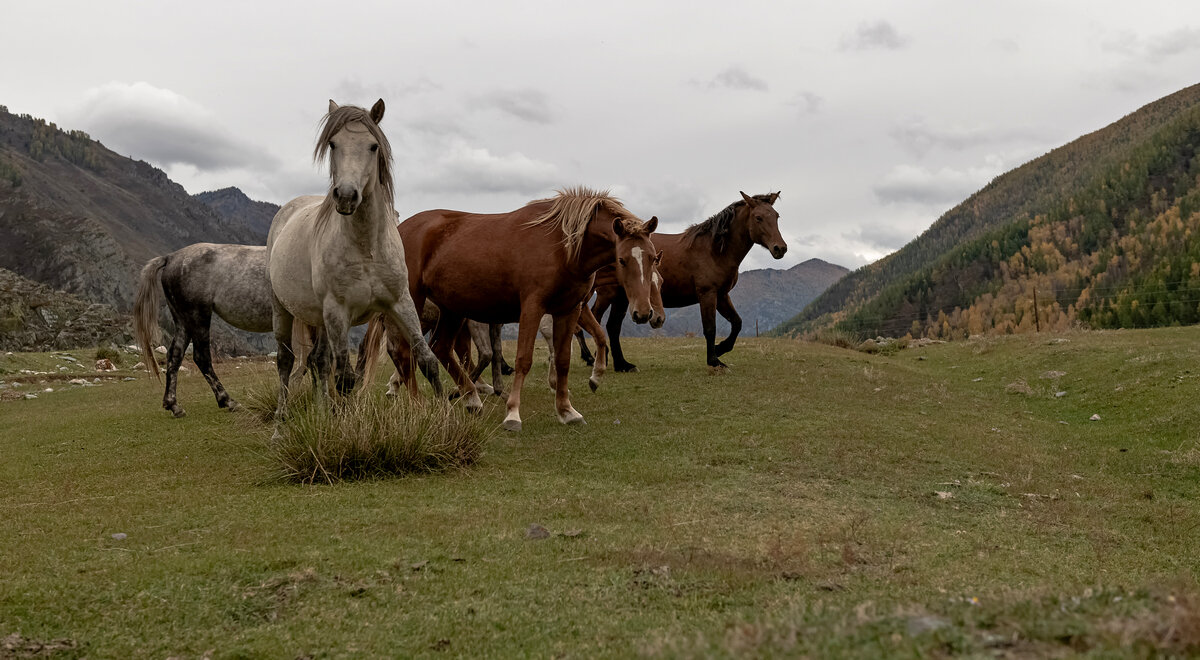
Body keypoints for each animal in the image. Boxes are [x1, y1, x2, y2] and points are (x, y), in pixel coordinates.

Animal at [265, 99, 444, 420]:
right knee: (287, 360)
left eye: (373, 146)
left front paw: (449, 415)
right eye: (333, 144)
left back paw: (322, 412)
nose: (346, 196)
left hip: (321, 319)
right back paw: (281, 418)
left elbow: (427, 360)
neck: (366, 249)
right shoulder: (338, 312)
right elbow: (345, 379)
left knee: (318, 360)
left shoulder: (401, 303)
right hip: (284, 310)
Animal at [372, 187, 662, 434]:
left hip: (452, 309)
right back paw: (418, 404)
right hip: (411, 300)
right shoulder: (532, 307)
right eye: (622, 260)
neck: (562, 246)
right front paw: (512, 414)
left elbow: (563, 360)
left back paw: (471, 398)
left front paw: (567, 411)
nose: (644, 313)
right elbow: (524, 359)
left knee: (441, 348)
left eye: (652, 258)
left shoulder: (569, 310)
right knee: (406, 352)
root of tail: (401, 228)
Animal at [592, 192, 787, 369]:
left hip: (622, 297)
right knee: (601, 321)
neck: (713, 250)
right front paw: (714, 360)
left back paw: (617, 363)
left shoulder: (722, 295)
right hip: (611, 294)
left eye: (777, 216)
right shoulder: (707, 294)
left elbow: (737, 323)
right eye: (758, 217)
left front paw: (721, 348)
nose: (780, 248)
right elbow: (710, 328)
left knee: (610, 325)